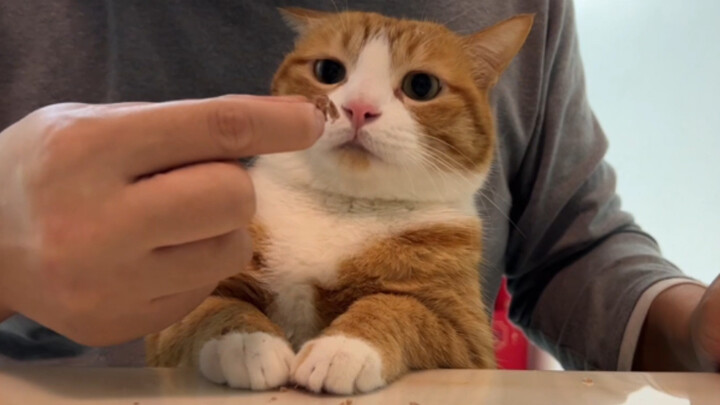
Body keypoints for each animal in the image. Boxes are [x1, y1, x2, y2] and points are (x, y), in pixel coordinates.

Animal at [146, 8, 532, 394]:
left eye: (422, 86)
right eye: (329, 71)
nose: (359, 108)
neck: (342, 205)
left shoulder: (467, 336)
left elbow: (399, 307)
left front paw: (344, 347)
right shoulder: (175, 319)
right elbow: (215, 307)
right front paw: (246, 343)